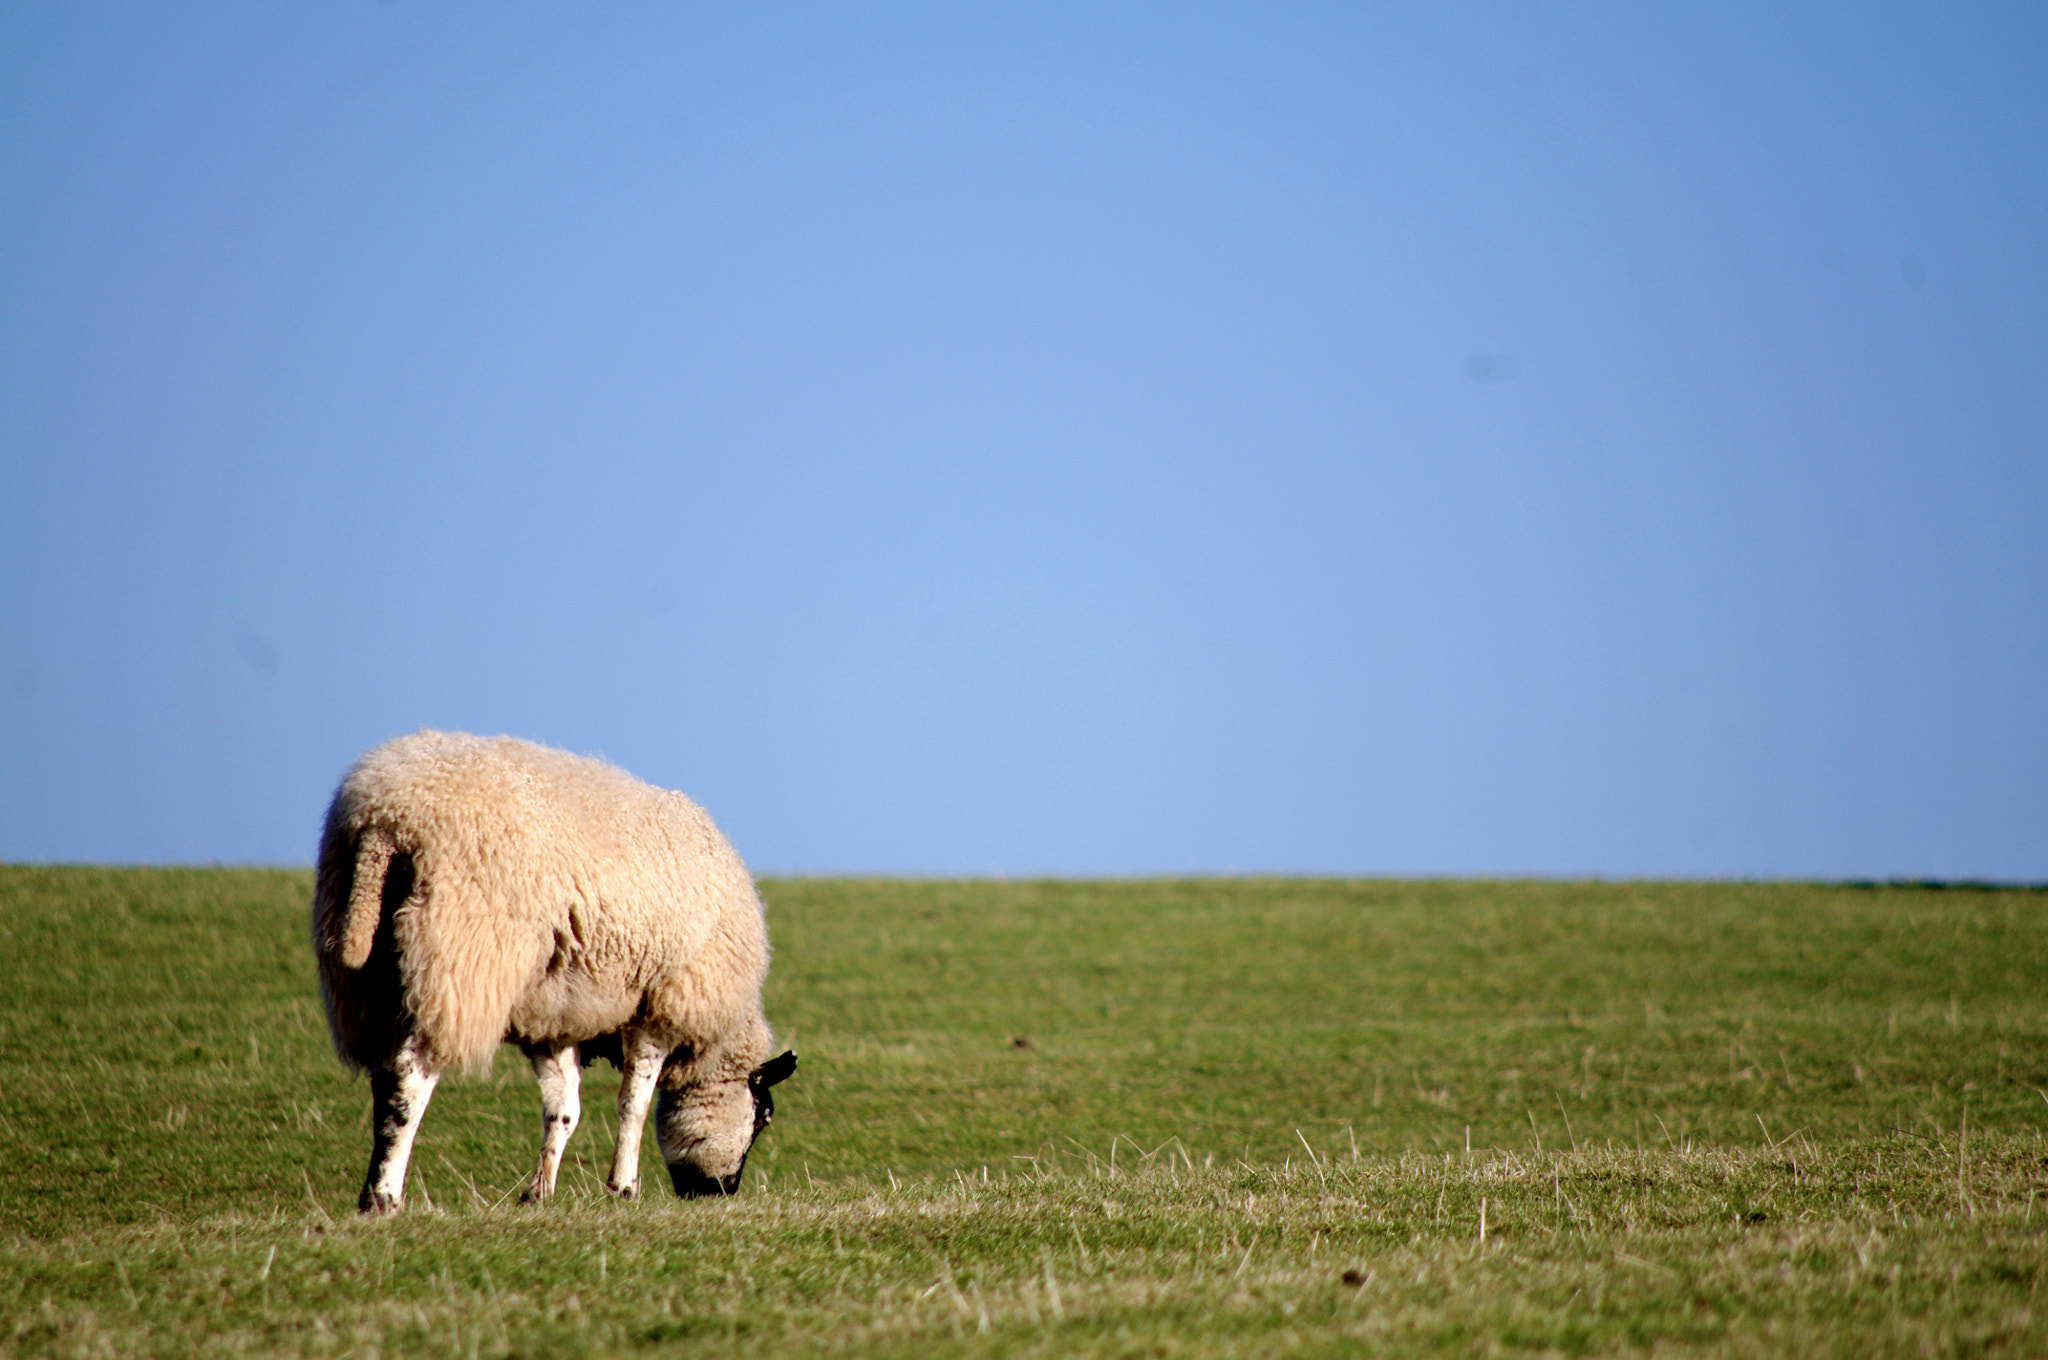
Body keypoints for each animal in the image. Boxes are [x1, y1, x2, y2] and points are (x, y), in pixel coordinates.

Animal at [311, 729, 796, 1215]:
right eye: (763, 1116)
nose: (721, 1191)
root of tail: (384, 818)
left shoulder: (552, 1014)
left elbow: (563, 1108)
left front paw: (539, 1191)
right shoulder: (660, 1006)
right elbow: (633, 1105)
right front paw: (624, 1187)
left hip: (366, 977)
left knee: (384, 1080)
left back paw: (370, 1189)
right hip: (458, 959)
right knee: (410, 1079)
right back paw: (386, 1195)